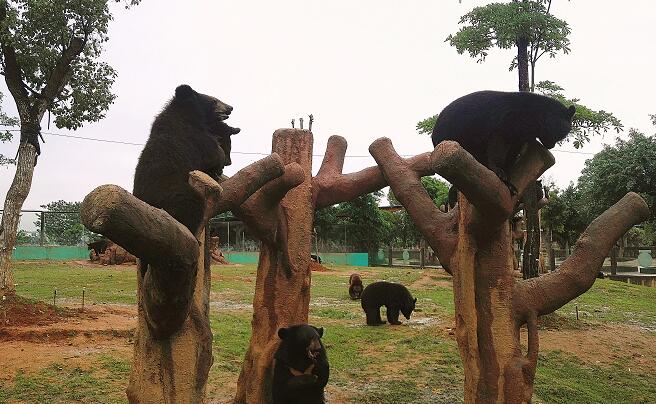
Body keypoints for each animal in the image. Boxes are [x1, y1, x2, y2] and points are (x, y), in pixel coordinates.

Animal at [132, 85, 240, 237]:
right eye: (214, 100)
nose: (230, 107)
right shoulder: (194, 137)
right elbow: (214, 154)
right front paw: (219, 168)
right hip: (172, 192)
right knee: (190, 203)